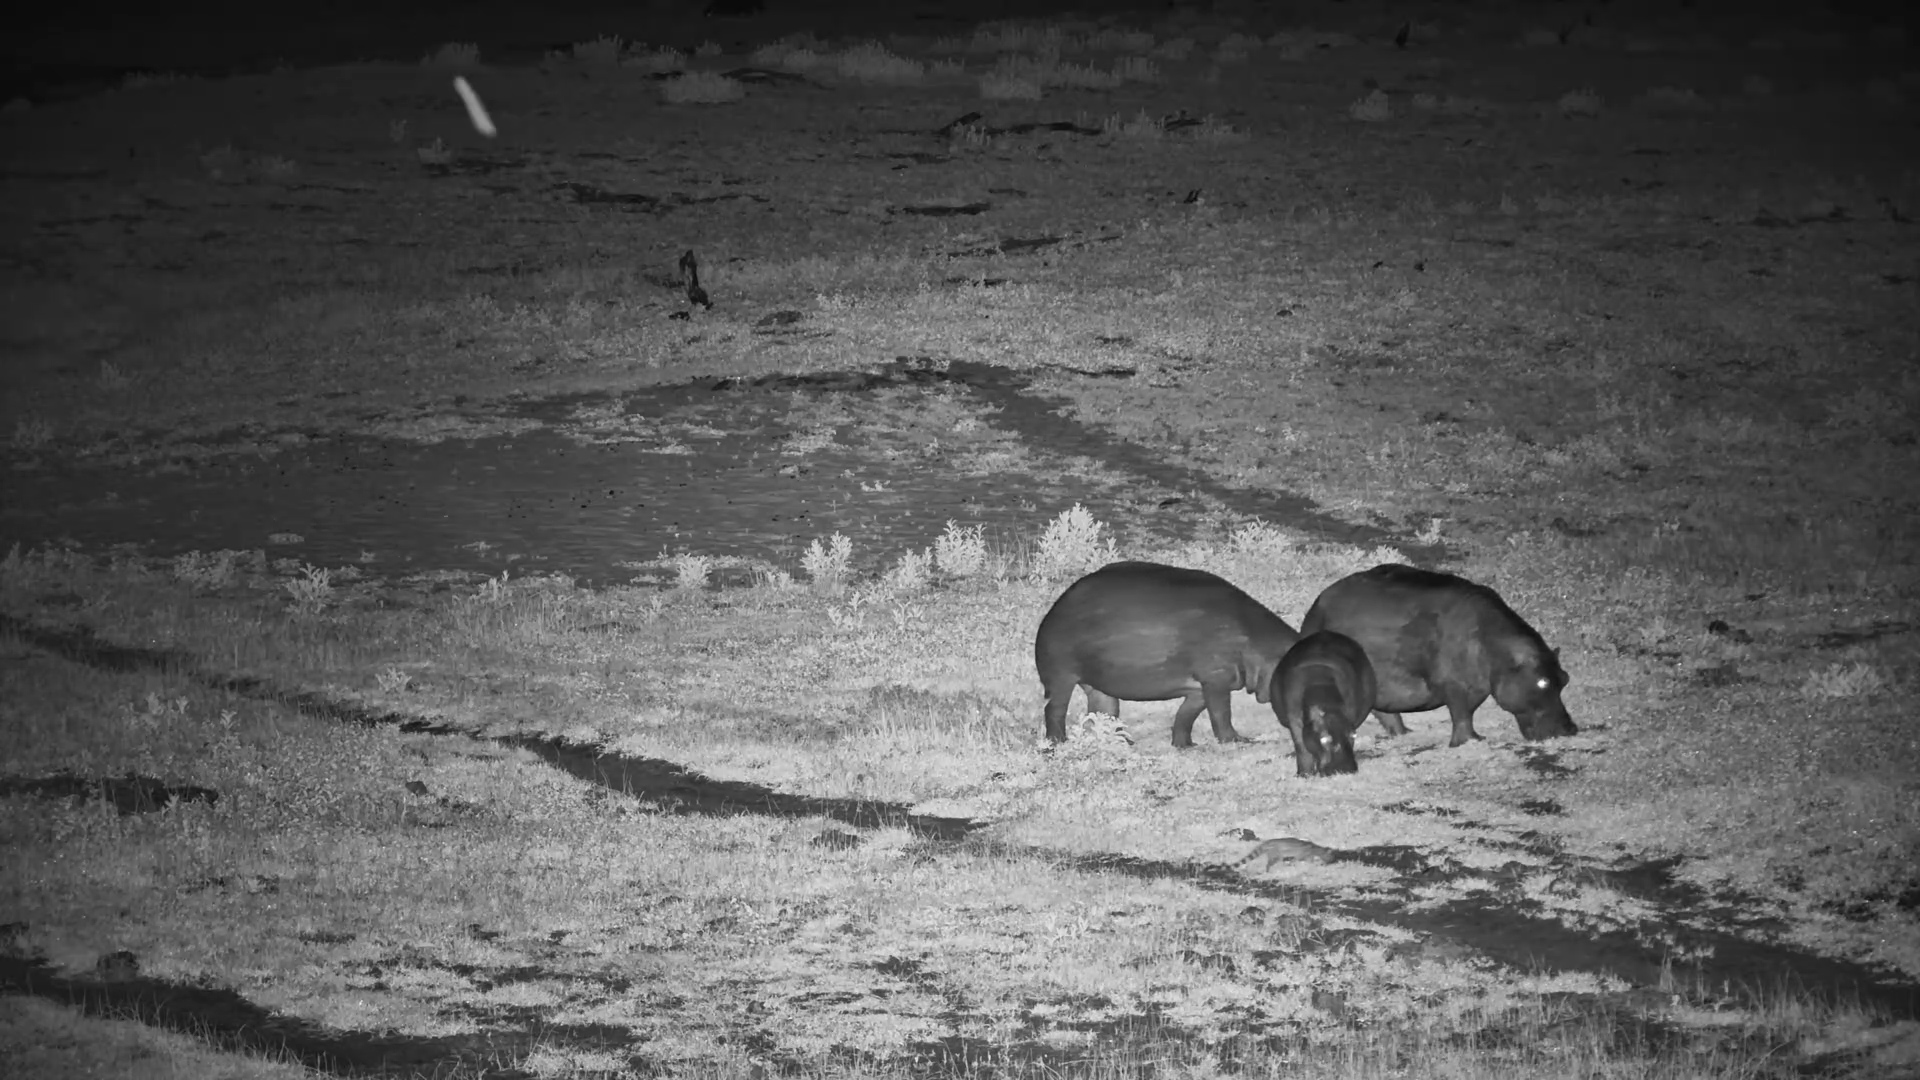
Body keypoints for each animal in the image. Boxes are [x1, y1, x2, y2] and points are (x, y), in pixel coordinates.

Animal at [1035, 561, 1300, 747]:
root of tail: (1058, 603)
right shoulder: (1215, 680)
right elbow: (1221, 713)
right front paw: (1239, 740)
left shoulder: (1200, 688)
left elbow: (1186, 716)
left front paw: (1186, 745)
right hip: (1060, 677)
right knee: (1055, 710)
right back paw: (1059, 742)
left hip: (1099, 684)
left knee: (1105, 711)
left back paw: (1125, 743)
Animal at [1270, 630, 1374, 777]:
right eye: (1324, 739)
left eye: (1353, 735)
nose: (1344, 770)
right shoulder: (1294, 719)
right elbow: (1301, 746)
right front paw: (1304, 774)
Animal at [1299, 564, 1575, 747]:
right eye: (1543, 682)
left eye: (1565, 677)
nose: (1570, 729)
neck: (1498, 646)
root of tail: (1317, 604)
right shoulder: (1456, 683)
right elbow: (1462, 712)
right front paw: (1472, 740)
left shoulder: (1477, 685)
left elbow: (1466, 711)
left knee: (1384, 710)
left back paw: (1405, 733)